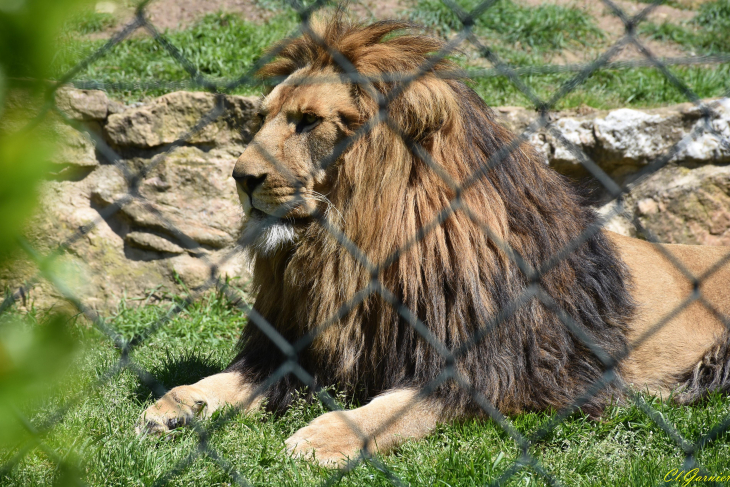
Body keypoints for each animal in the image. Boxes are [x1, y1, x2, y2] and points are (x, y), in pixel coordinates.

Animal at [136, 14, 728, 466]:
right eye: (262, 119)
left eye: (307, 122)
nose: (240, 177)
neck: (350, 250)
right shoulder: (295, 347)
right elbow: (226, 381)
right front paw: (177, 402)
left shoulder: (480, 369)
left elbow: (389, 409)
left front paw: (324, 436)